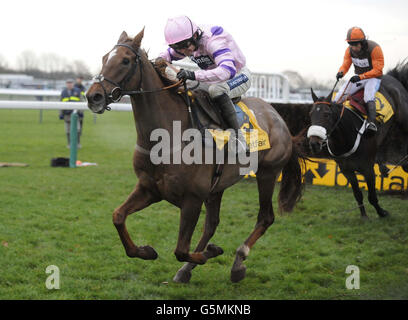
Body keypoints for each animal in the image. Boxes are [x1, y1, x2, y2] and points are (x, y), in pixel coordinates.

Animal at [85, 28, 302, 282]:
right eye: (104, 58)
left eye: (125, 61)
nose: (93, 97)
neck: (166, 137)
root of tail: (278, 117)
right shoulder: (149, 189)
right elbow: (118, 217)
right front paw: (145, 251)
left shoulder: (192, 199)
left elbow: (180, 250)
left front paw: (211, 252)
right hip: (217, 187)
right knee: (212, 224)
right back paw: (188, 270)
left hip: (268, 173)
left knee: (265, 217)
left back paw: (238, 262)